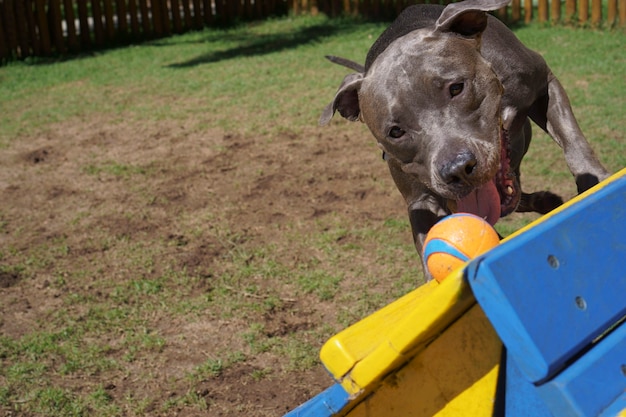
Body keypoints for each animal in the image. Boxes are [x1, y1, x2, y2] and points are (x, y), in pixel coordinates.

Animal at [320, 0, 608, 280]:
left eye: (456, 88)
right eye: (395, 131)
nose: (457, 169)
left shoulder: (544, 83)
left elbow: (573, 142)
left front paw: (594, 182)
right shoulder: (421, 201)